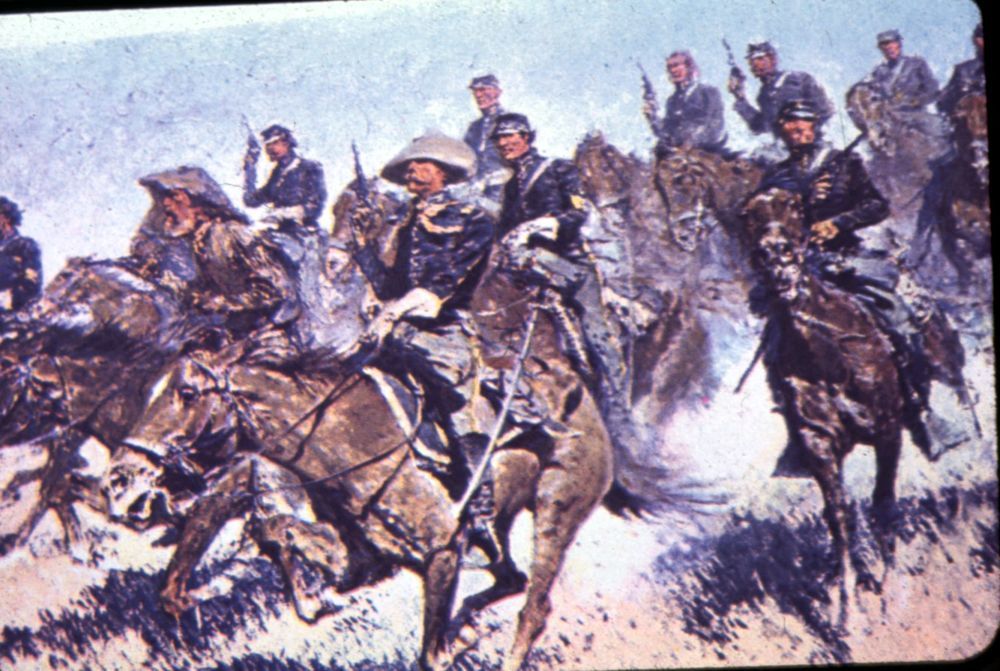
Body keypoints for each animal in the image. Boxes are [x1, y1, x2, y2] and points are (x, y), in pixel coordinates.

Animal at [744, 187, 909, 630]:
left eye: (794, 208)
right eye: (746, 219)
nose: (775, 257)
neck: (824, 356)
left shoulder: (888, 431)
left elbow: (883, 504)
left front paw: (890, 596)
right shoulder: (818, 444)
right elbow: (839, 517)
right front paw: (846, 610)